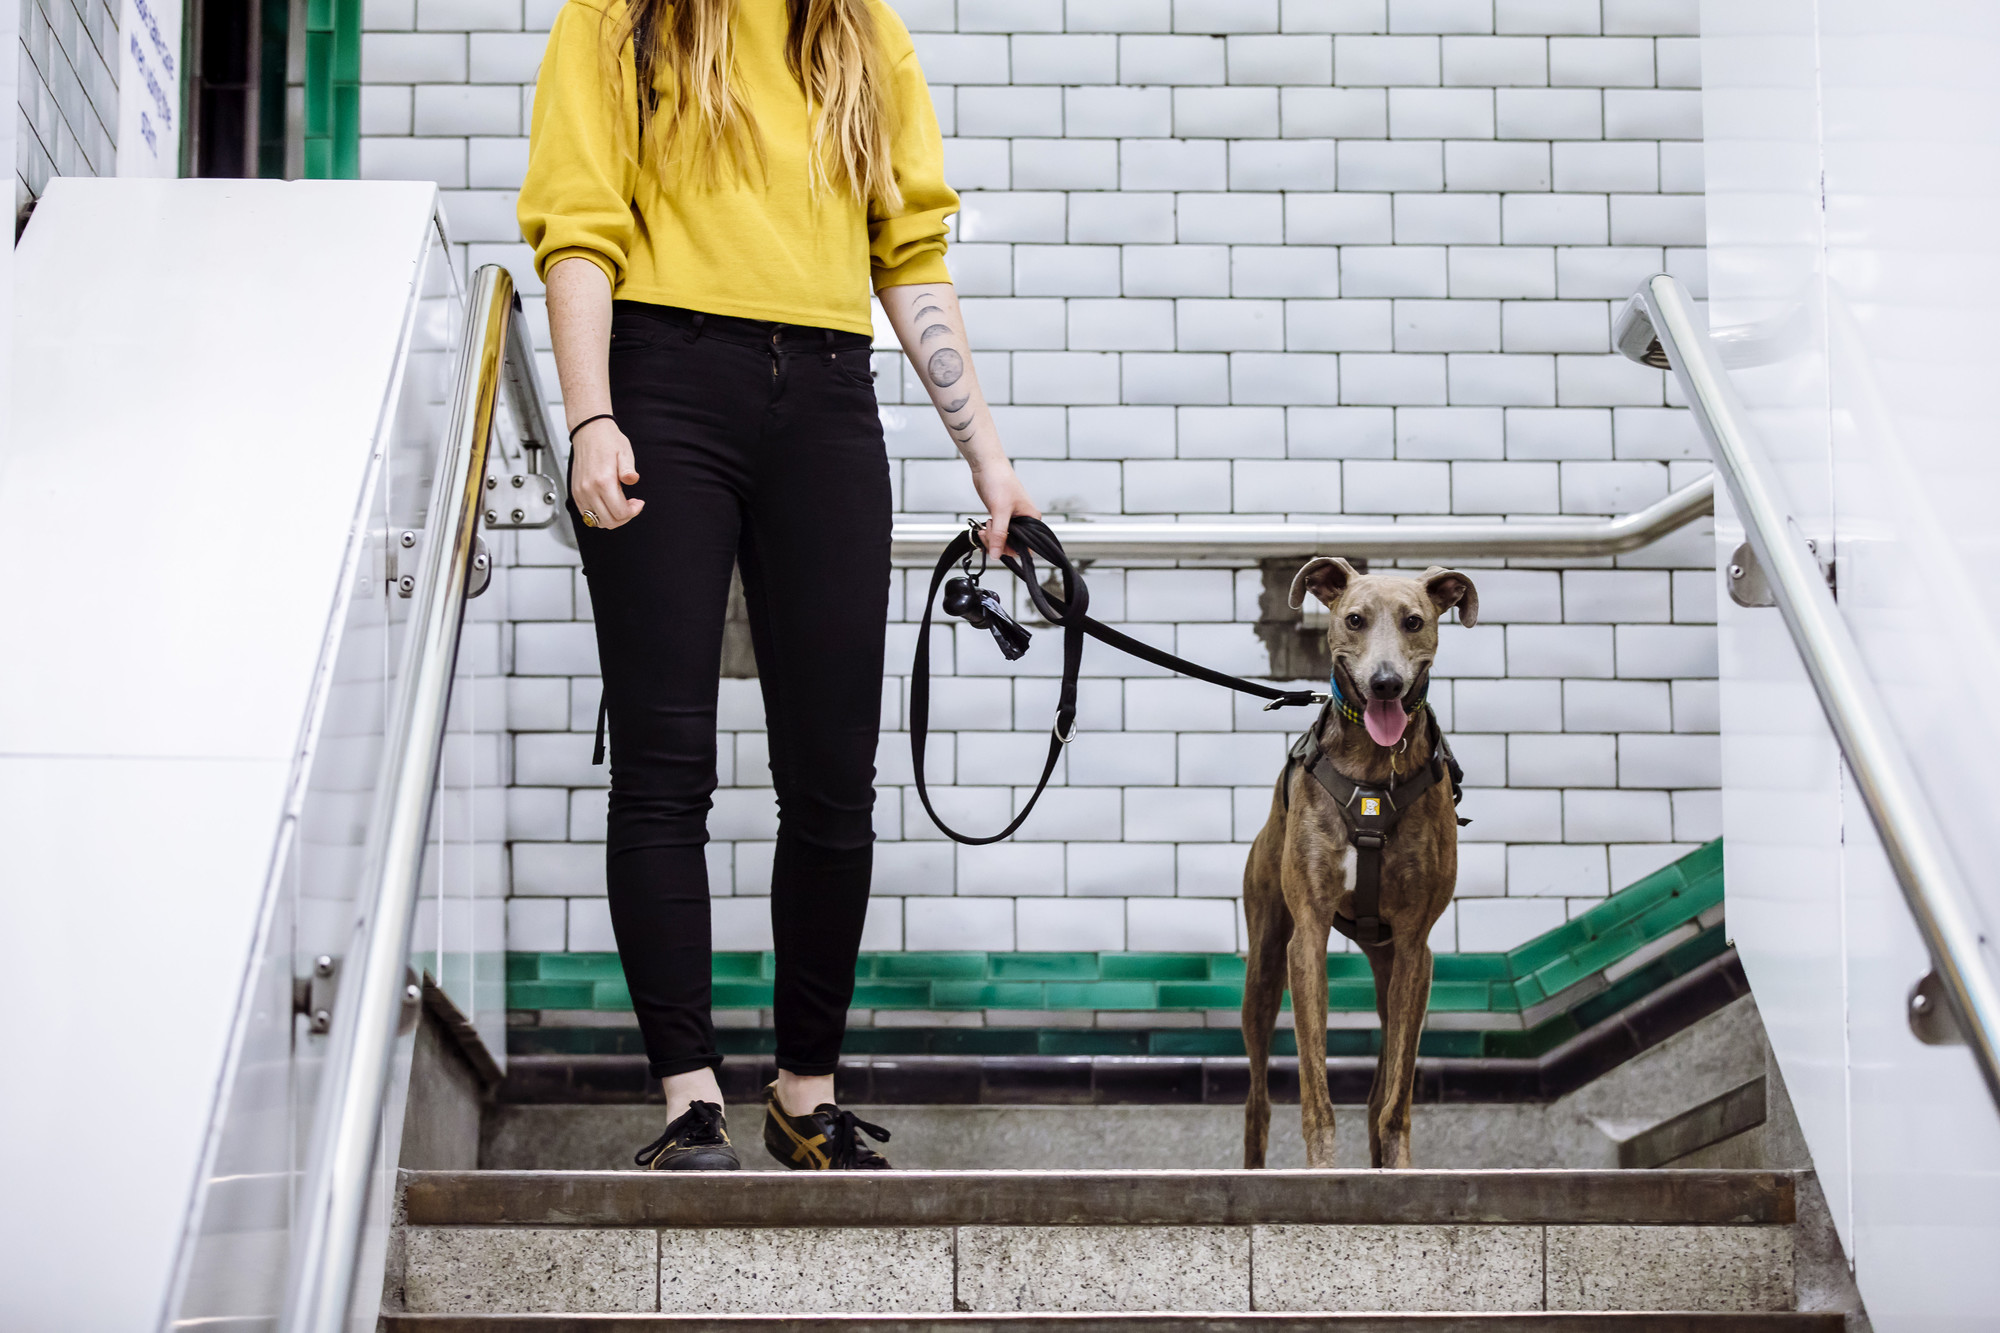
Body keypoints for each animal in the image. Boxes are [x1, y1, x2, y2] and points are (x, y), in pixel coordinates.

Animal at [1240, 552, 1480, 1160]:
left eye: (1415, 621)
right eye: (1354, 619)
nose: (1385, 683)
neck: (1375, 764)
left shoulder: (1417, 947)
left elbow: (1397, 1093)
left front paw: (1397, 1162)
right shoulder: (1307, 937)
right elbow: (1315, 1083)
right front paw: (1322, 1164)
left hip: (1389, 962)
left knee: (1380, 1086)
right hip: (1264, 963)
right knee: (1257, 1102)